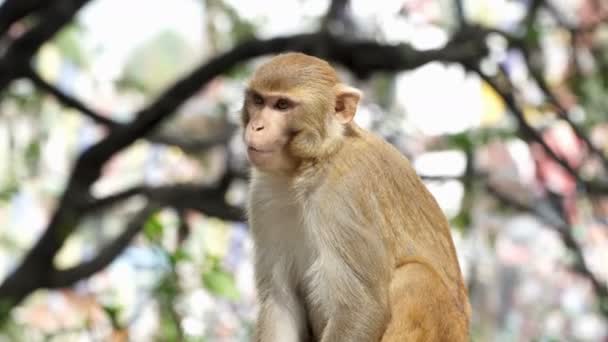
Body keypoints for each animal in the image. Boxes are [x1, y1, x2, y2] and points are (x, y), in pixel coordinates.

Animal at [242, 52, 470, 340]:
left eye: (282, 105)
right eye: (258, 101)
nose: (257, 126)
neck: (312, 164)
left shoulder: (348, 191)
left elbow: (361, 307)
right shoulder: (262, 196)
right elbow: (280, 301)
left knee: (416, 277)